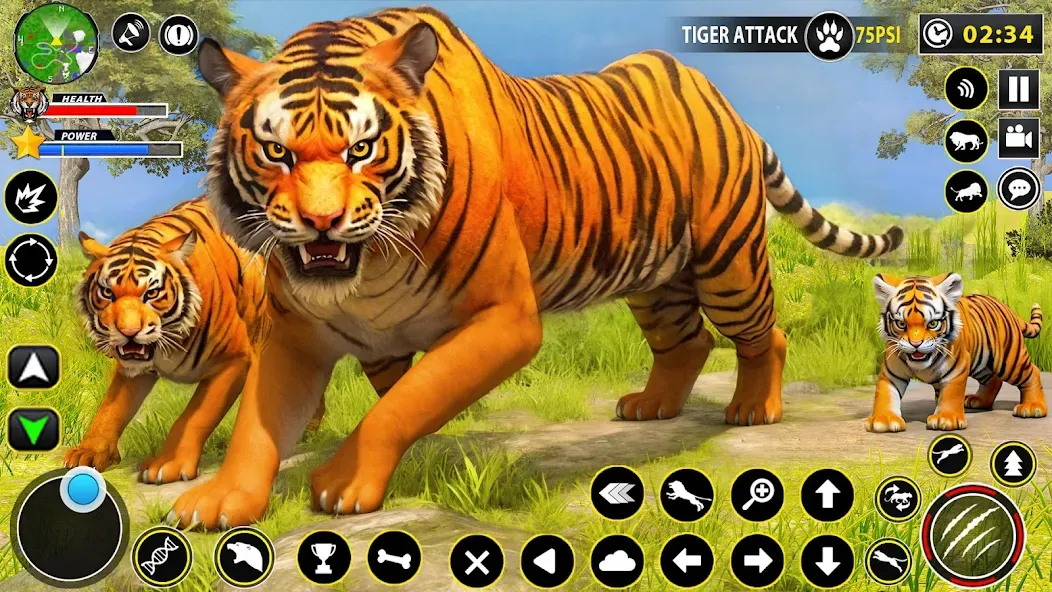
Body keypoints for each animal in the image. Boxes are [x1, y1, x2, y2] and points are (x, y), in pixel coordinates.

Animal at [65, 198, 327, 484]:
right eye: (107, 293)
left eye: (152, 293)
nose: (128, 331)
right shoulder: (131, 370)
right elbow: (111, 408)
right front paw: (88, 452)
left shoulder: (234, 359)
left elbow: (194, 416)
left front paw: (169, 463)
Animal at [167, 6, 904, 529]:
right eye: (276, 151)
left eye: (361, 148)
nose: (321, 222)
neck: (365, 270)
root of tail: (722, 103)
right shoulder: (295, 333)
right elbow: (260, 423)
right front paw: (220, 499)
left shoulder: (505, 320)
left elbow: (407, 400)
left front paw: (342, 484)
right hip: (655, 281)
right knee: (686, 340)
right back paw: (652, 406)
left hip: (728, 264)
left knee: (764, 334)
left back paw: (753, 409)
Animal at [866, 272, 1047, 433]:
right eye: (901, 324)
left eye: (932, 324)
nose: (916, 344)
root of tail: (1004, 306)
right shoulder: (891, 372)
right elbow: (886, 393)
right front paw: (883, 420)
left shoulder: (958, 366)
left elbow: (951, 392)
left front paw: (945, 419)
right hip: (980, 364)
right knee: (993, 380)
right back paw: (978, 401)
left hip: (1008, 360)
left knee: (1032, 372)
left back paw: (1033, 408)